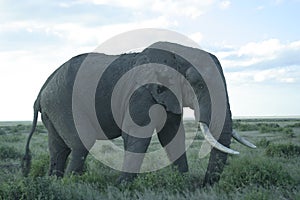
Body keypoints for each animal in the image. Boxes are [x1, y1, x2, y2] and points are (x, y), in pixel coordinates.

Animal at [22, 41, 255, 186]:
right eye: (197, 83)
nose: (205, 186)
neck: (173, 53)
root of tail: (42, 90)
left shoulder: (169, 94)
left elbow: (172, 135)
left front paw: (183, 182)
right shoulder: (140, 92)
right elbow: (137, 135)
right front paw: (121, 187)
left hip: (53, 110)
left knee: (59, 149)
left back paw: (55, 182)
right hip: (63, 104)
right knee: (80, 144)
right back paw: (71, 185)